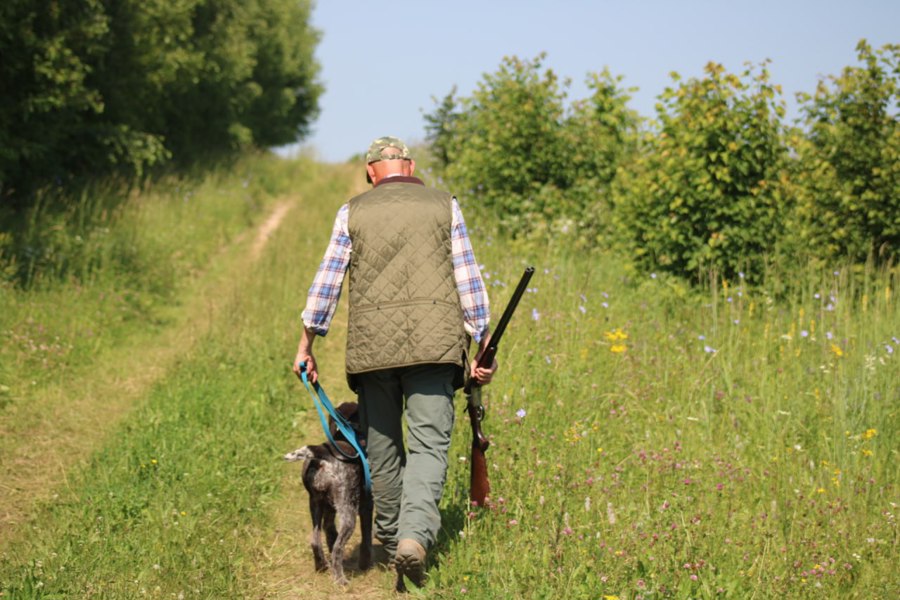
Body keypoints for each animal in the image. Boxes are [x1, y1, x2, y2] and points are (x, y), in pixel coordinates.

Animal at [286, 400, 374, 584]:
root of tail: (322, 455)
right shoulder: (366, 505)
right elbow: (366, 537)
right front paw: (364, 563)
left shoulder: (329, 507)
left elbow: (329, 532)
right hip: (348, 513)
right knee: (337, 549)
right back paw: (340, 580)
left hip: (315, 503)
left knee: (315, 540)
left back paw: (321, 566)